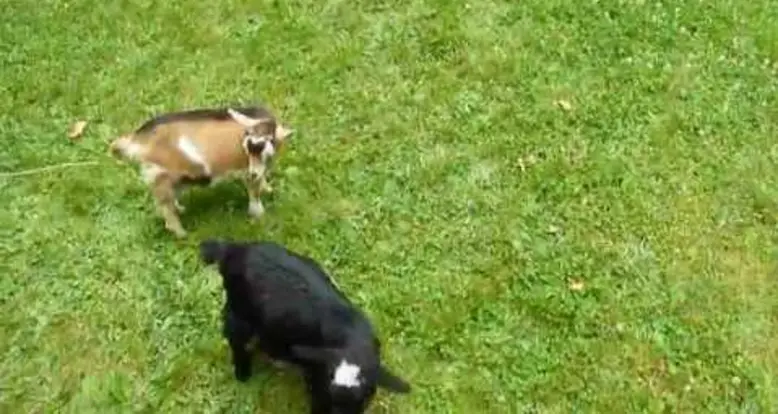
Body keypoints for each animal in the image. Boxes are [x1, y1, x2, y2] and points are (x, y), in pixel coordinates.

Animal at [107, 105, 292, 238]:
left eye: (268, 143)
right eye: (247, 146)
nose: (253, 173)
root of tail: (136, 141)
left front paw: (267, 188)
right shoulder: (247, 169)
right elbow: (254, 191)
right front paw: (259, 214)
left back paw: (180, 210)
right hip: (160, 175)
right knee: (166, 207)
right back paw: (182, 234)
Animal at [197, 239, 410, 414]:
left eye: (363, 399)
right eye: (329, 398)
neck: (351, 338)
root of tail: (235, 249)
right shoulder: (316, 379)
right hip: (239, 312)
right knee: (235, 339)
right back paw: (243, 373)